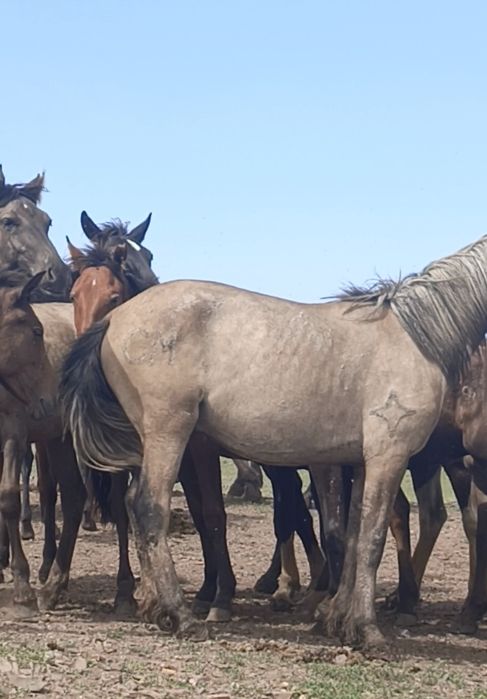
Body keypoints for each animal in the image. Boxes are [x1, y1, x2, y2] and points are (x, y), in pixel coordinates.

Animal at [61, 234, 487, 647]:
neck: (416, 338)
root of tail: (114, 320)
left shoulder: (362, 463)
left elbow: (352, 537)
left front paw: (337, 619)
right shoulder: (388, 457)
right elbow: (372, 539)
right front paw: (366, 629)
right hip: (168, 432)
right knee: (149, 507)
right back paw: (180, 615)